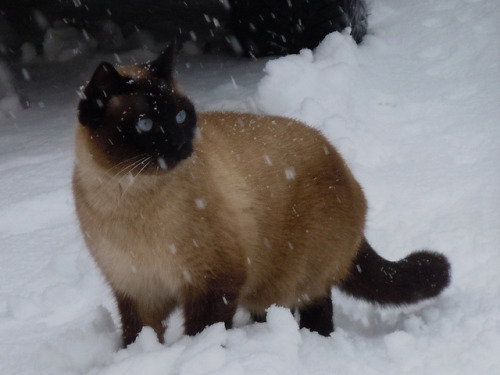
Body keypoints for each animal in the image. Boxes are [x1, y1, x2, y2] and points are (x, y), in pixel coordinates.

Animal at [72, 45, 452, 348]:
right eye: (146, 125)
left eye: (180, 115)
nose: (180, 145)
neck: (127, 196)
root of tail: (343, 165)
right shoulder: (137, 290)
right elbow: (137, 338)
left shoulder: (213, 281)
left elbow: (203, 333)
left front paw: (195, 354)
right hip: (265, 290)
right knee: (270, 313)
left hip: (296, 277)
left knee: (318, 310)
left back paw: (314, 342)